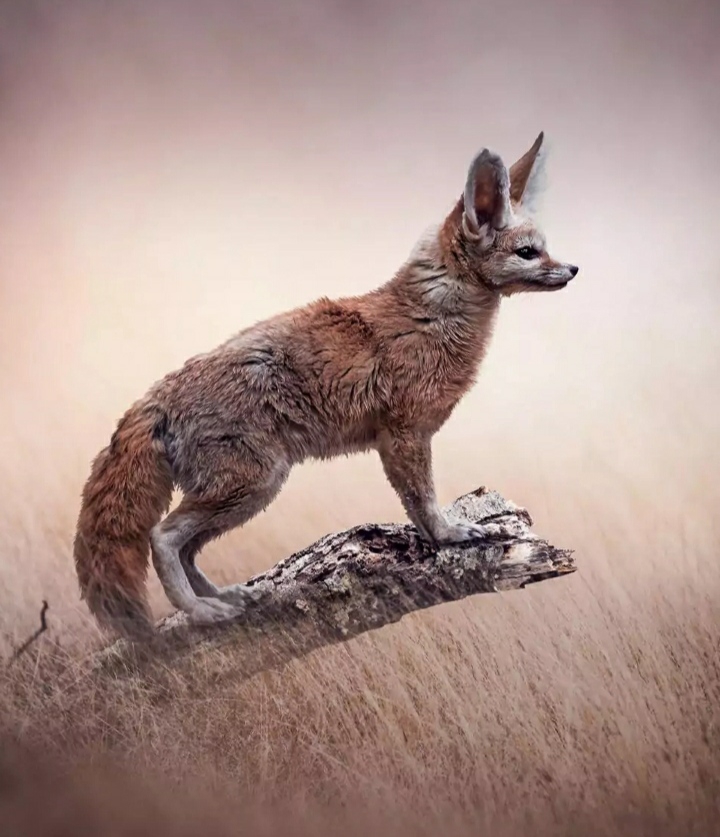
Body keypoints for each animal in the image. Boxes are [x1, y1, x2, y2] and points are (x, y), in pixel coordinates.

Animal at [73, 131, 579, 639]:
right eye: (529, 252)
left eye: (545, 248)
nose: (575, 269)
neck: (432, 315)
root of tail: (154, 397)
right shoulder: (404, 436)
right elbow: (423, 502)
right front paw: (449, 535)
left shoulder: (398, 440)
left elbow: (417, 504)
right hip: (251, 484)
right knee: (163, 537)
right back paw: (201, 611)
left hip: (245, 493)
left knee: (187, 548)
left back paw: (224, 598)